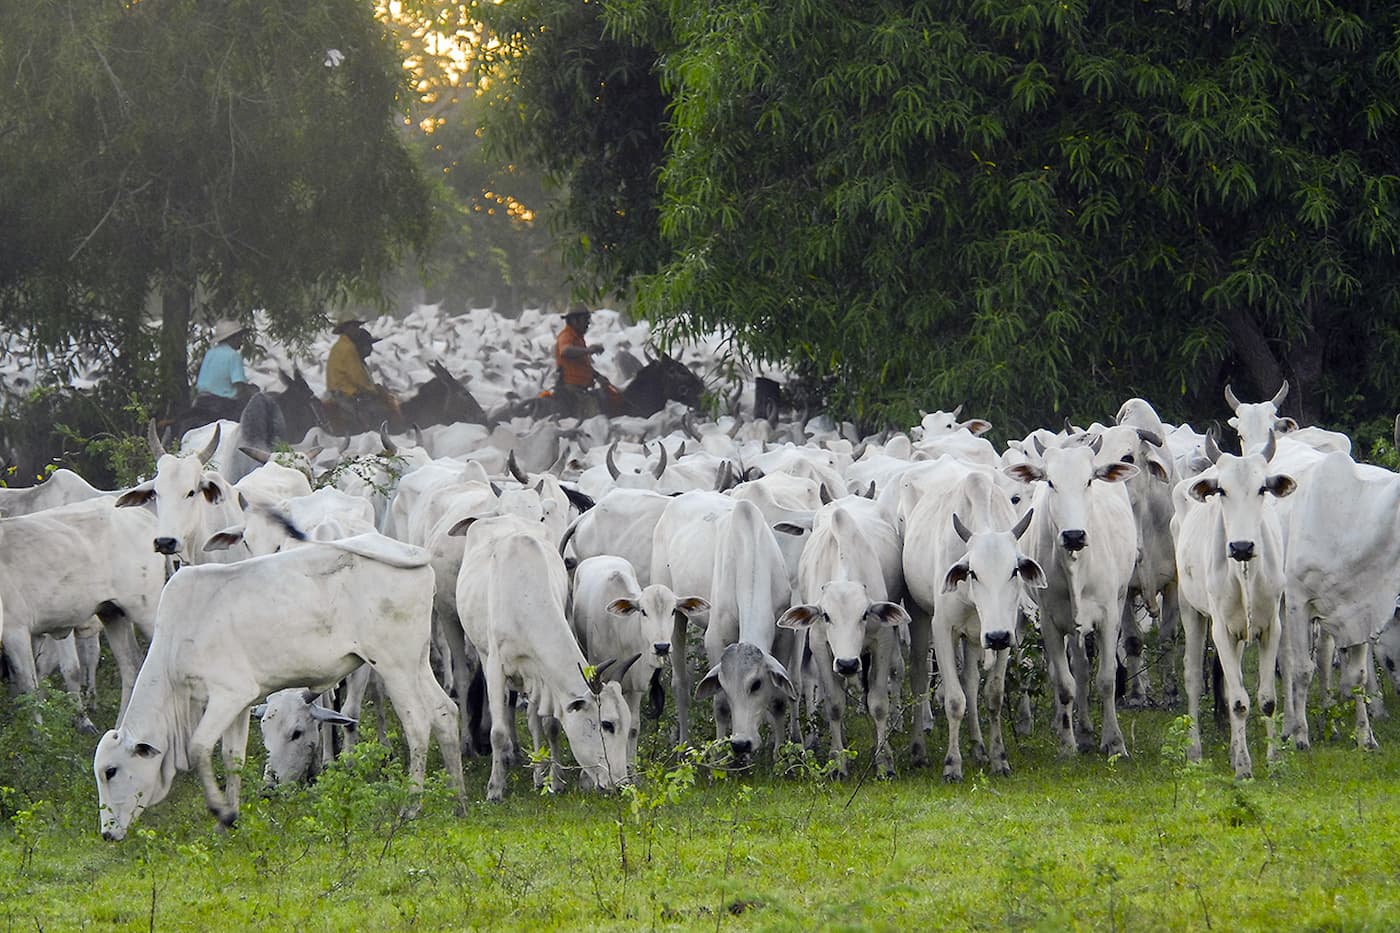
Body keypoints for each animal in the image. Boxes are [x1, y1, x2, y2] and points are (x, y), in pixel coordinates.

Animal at [93, 529, 464, 834]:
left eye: (111, 771)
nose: (108, 833)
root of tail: (411, 552)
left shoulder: (227, 695)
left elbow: (199, 747)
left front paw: (221, 812)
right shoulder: (242, 703)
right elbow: (232, 757)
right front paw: (229, 820)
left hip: (394, 665)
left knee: (418, 725)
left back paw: (411, 808)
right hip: (415, 662)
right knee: (445, 713)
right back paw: (457, 798)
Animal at [453, 512, 635, 795]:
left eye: (626, 724)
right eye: (607, 724)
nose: (621, 784)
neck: (524, 595)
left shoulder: (542, 676)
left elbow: (550, 725)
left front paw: (555, 780)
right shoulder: (496, 668)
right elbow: (498, 732)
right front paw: (495, 788)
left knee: (534, 720)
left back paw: (539, 774)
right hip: (482, 651)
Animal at [571, 554, 711, 762]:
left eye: (673, 611)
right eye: (643, 611)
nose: (662, 647)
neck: (622, 632)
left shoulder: (636, 685)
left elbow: (633, 727)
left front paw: (632, 765)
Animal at [1008, 437, 1136, 756]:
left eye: (1088, 480)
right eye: (1050, 482)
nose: (1074, 535)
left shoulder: (1107, 617)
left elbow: (1106, 679)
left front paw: (1115, 742)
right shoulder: (1050, 622)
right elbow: (1065, 683)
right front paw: (1067, 744)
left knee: (1084, 667)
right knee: (1070, 668)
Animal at [1170, 431, 1288, 773]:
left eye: (1262, 488)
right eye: (1221, 490)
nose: (1241, 546)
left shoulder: (1270, 627)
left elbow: (1267, 699)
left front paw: (1273, 762)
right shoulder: (1220, 629)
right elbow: (1238, 703)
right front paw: (1244, 768)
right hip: (1190, 609)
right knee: (1193, 677)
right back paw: (1195, 751)